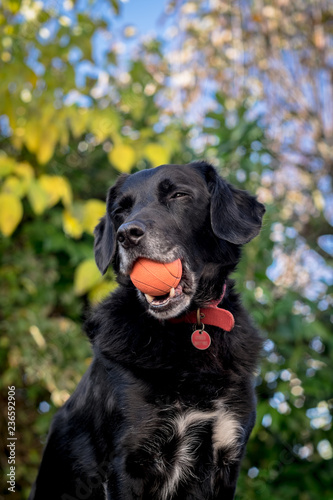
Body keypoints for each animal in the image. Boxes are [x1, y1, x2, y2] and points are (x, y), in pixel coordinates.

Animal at [30, 162, 264, 498]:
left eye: (178, 195)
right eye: (120, 210)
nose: (127, 234)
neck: (189, 326)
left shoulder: (225, 455)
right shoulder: (129, 461)